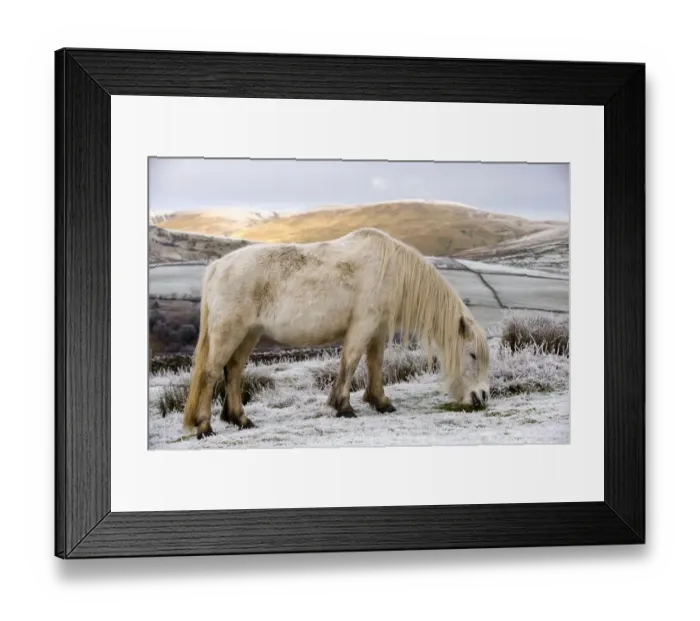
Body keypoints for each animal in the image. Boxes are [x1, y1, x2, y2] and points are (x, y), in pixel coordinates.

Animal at [182, 227, 490, 439]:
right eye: (472, 355)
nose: (483, 396)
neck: (390, 268)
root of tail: (217, 267)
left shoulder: (377, 329)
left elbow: (375, 364)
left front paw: (380, 402)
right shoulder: (363, 325)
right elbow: (350, 362)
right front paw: (343, 407)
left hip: (249, 334)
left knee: (233, 371)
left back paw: (241, 419)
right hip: (230, 332)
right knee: (211, 373)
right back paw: (205, 426)